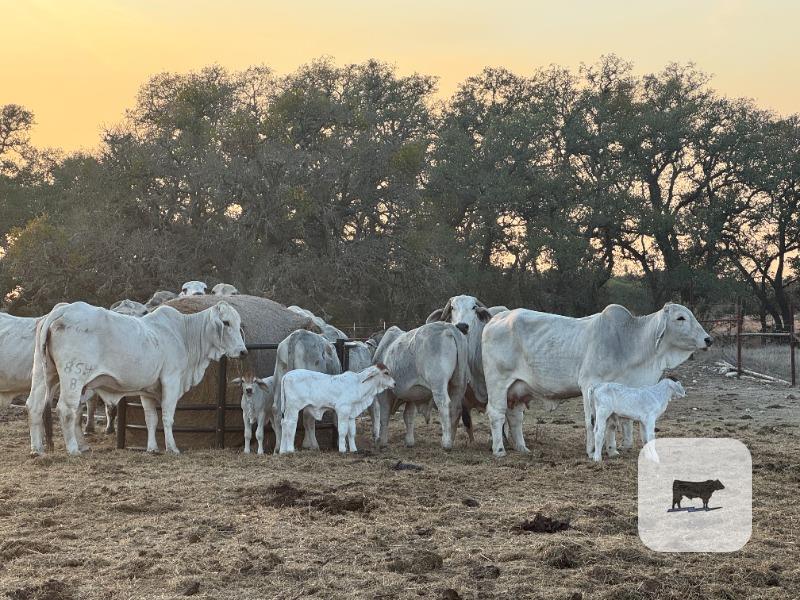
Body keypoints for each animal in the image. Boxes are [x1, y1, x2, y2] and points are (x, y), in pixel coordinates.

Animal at [26, 301, 247, 455]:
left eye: (239, 324)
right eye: (226, 322)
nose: (243, 351)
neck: (184, 334)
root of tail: (62, 310)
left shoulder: (147, 390)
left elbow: (151, 419)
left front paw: (152, 448)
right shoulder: (171, 380)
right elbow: (167, 416)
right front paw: (172, 448)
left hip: (43, 374)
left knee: (34, 406)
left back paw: (37, 449)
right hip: (73, 376)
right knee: (66, 409)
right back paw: (73, 449)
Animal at [481, 303, 712, 457]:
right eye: (680, 318)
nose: (708, 339)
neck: (629, 342)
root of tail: (497, 318)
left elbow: (611, 423)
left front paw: (612, 450)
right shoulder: (589, 385)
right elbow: (592, 422)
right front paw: (592, 451)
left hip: (517, 389)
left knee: (514, 418)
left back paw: (522, 448)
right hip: (498, 383)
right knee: (496, 414)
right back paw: (499, 450)